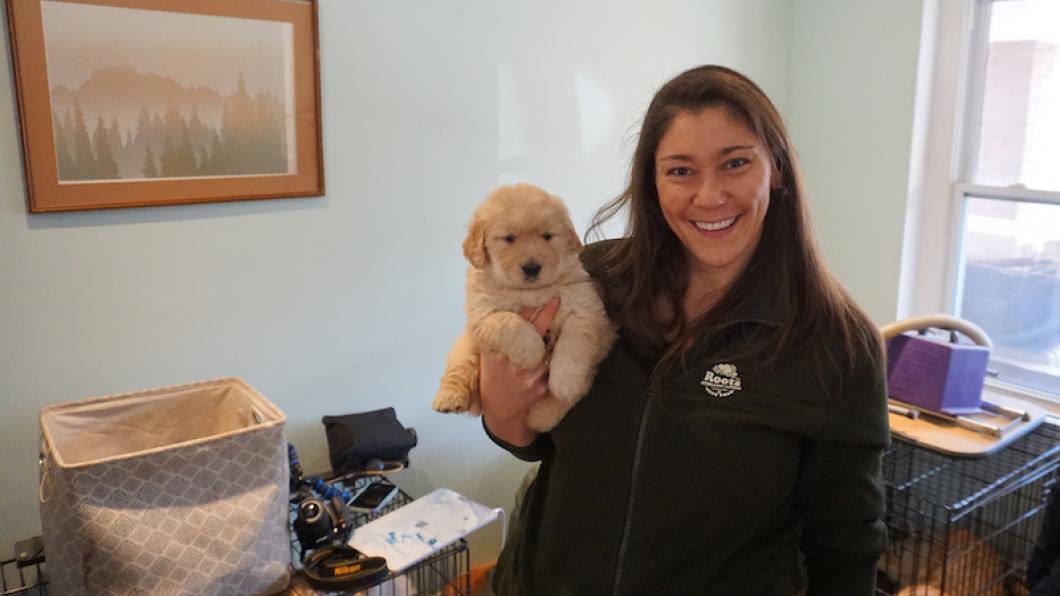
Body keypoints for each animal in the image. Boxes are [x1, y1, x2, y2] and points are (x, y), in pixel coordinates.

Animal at [430, 183, 614, 428]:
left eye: (547, 236)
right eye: (509, 238)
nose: (532, 267)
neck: (530, 292)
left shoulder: (585, 306)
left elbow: (574, 342)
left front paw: (565, 382)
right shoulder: (482, 315)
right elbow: (509, 322)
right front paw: (533, 351)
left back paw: (540, 415)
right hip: (464, 346)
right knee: (458, 369)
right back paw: (449, 398)